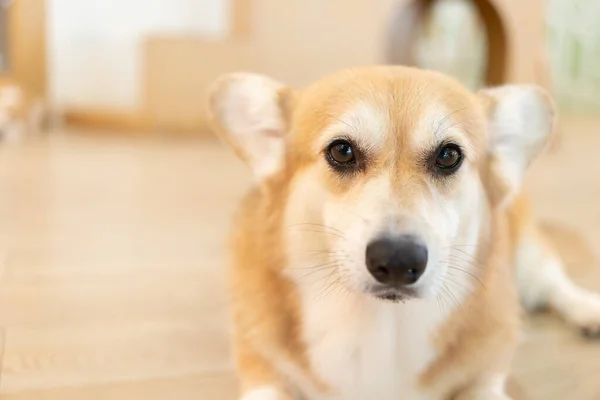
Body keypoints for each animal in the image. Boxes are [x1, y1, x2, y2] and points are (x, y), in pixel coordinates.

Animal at [206, 67, 600, 398]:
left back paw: (587, 309)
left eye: (448, 156)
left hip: (527, 262)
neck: (382, 328)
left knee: (554, 283)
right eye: (342, 151)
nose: (397, 261)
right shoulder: (263, 371)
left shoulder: (484, 378)